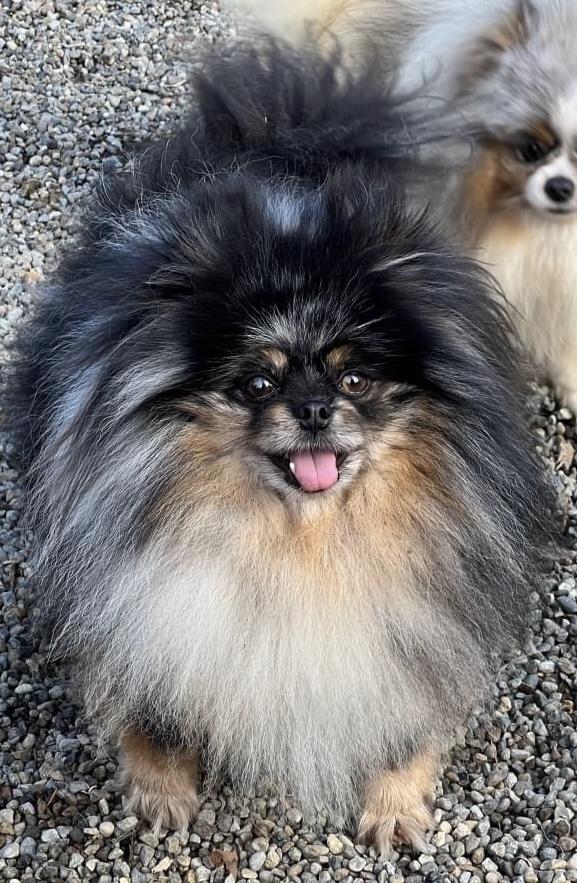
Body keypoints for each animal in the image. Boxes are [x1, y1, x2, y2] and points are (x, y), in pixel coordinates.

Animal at [10, 40, 555, 855]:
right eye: (258, 382)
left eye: (356, 377)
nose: (315, 407)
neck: (302, 545)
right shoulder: (149, 603)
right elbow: (153, 708)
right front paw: (162, 792)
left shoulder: (417, 615)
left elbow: (406, 714)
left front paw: (394, 805)